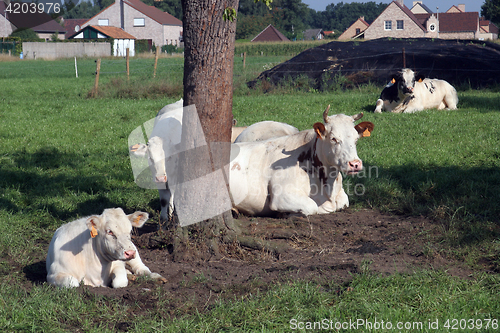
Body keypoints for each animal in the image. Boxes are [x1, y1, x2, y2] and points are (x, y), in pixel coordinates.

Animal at [229, 106, 374, 215]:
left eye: (356, 139)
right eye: (333, 138)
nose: (355, 164)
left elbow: (345, 202)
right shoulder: (283, 195)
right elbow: (312, 207)